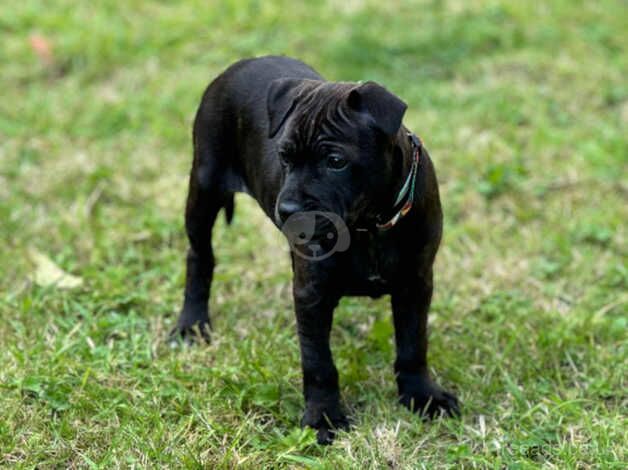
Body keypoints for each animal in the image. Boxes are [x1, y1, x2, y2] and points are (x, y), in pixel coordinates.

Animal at [174, 56, 458, 444]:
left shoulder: (415, 283)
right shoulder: (312, 293)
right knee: (199, 256)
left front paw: (423, 396)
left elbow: (414, 344)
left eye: (336, 161)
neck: (368, 224)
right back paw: (191, 325)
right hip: (204, 186)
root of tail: (241, 63)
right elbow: (318, 361)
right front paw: (323, 417)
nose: (288, 211)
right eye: (284, 157)